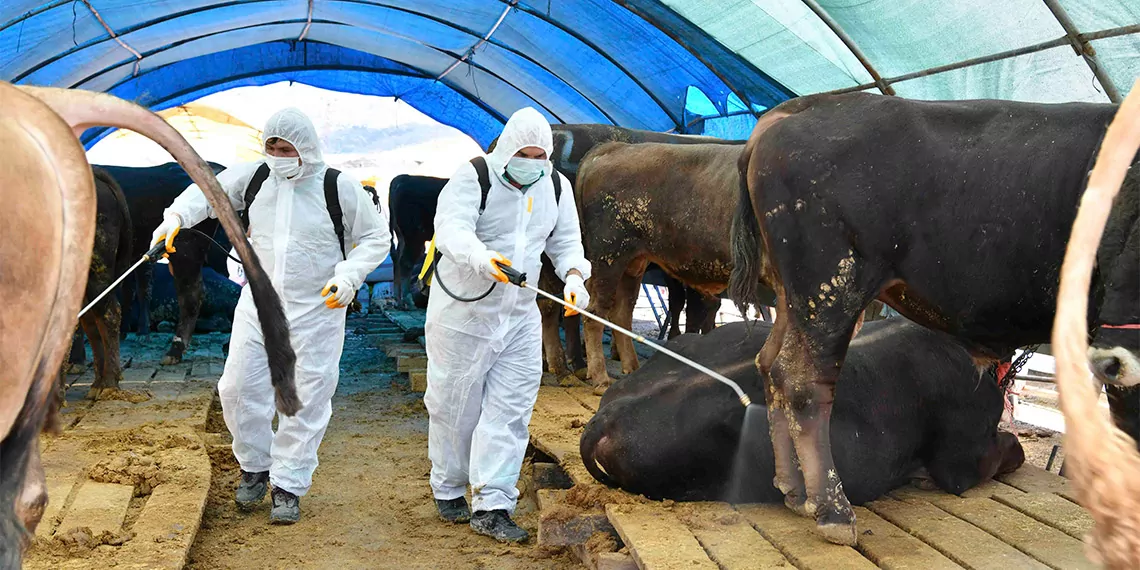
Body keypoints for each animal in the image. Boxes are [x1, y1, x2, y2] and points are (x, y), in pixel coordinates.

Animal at [729, 91, 1140, 544]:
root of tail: (802, 107)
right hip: (831, 287)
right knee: (803, 382)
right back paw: (833, 511)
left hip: (794, 297)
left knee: (771, 365)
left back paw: (793, 489)